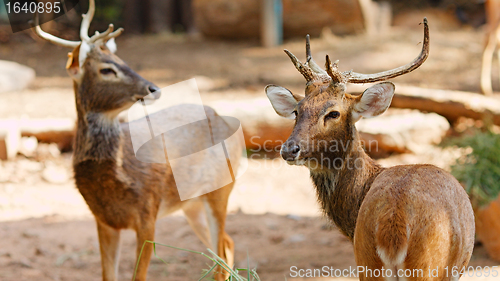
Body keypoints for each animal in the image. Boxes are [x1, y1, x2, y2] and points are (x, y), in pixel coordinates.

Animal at [30, 0, 243, 280]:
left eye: (122, 60)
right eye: (107, 69)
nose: (153, 88)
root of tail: (223, 118)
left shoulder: (147, 213)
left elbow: (138, 275)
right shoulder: (104, 220)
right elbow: (108, 274)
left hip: (220, 189)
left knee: (222, 251)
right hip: (191, 204)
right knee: (227, 246)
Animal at [266, 18, 472, 278]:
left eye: (333, 113)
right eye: (297, 110)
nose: (289, 149)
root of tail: (393, 227)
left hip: (369, 259)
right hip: (423, 265)